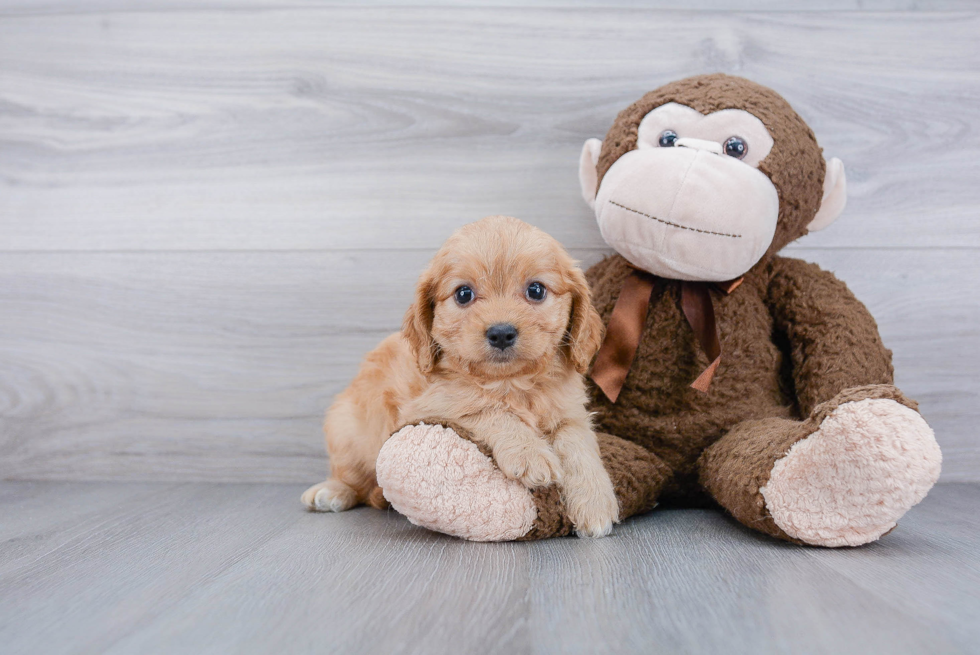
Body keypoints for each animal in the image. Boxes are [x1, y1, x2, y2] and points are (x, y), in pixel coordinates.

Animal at [300, 215, 620, 540]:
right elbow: (489, 409)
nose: (501, 333)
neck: (511, 382)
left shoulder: (572, 412)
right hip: (348, 432)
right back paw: (330, 492)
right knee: (351, 478)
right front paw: (529, 453)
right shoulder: (429, 406)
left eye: (536, 290)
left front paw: (596, 502)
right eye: (463, 294)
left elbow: (579, 444)